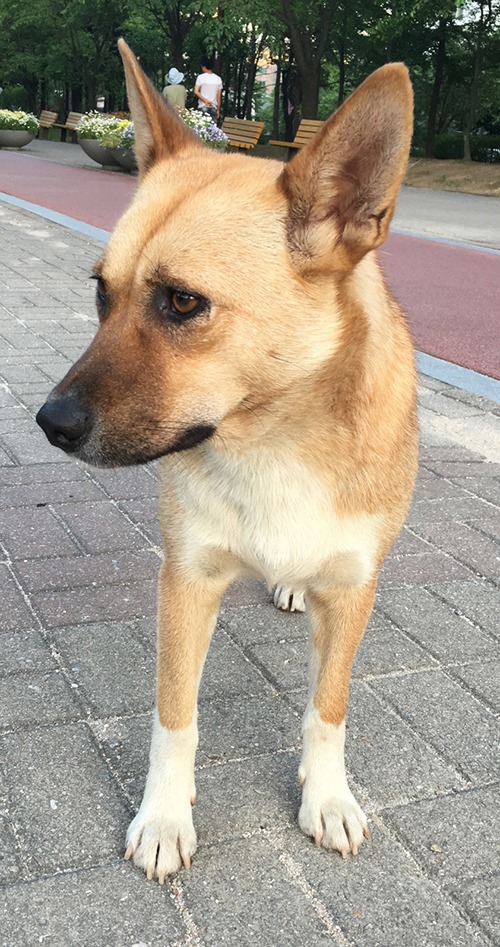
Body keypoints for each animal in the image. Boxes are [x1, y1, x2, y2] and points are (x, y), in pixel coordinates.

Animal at [36, 40, 418, 884]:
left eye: (182, 301)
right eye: (101, 293)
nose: (49, 424)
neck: (274, 440)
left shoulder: (355, 586)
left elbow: (329, 708)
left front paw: (327, 794)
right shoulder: (188, 579)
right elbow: (175, 716)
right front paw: (164, 815)